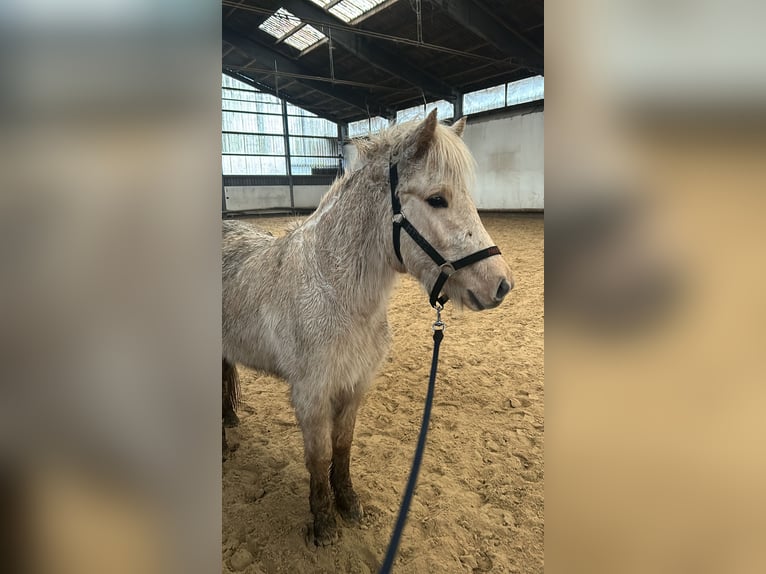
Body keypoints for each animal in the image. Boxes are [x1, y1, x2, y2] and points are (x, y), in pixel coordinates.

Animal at [222, 110, 514, 546]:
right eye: (437, 199)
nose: (500, 284)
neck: (334, 292)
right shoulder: (311, 395)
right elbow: (319, 456)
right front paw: (324, 523)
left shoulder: (355, 385)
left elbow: (342, 448)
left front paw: (348, 504)